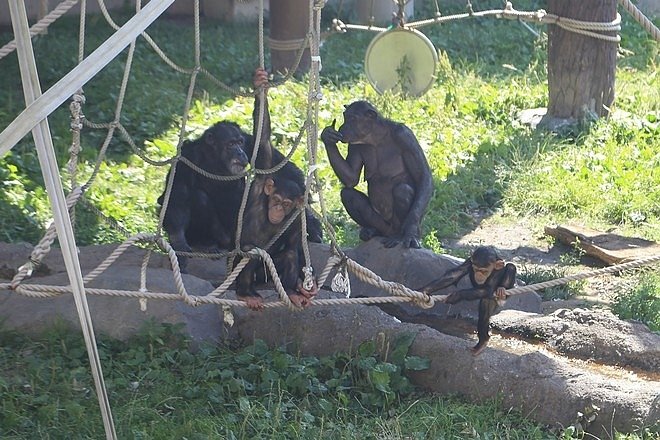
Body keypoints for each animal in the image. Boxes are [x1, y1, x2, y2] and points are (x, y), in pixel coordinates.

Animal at [236, 68, 318, 310]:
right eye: (276, 200)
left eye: (287, 204)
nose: (278, 210)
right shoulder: (262, 180)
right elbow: (263, 140)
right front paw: (260, 84)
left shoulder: (296, 217)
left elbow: (294, 245)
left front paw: (303, 284)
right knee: (250, 251)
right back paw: (246, 293)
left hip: (268, 279)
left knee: (290, 255)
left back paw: (293, 292)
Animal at [320, 101, 434, 249]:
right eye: (345, 117)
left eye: (353, 119)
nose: (342, 126)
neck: (376, 137)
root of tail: (389, 233)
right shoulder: (353, 144)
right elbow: (351, 178)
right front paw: (328, 137)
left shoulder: (405, 136)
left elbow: (423, 176)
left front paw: (410, 233)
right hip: (383, 226)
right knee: (348, 195)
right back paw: (372, 231)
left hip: (398, 226)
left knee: (402, 191)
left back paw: (400, 236)